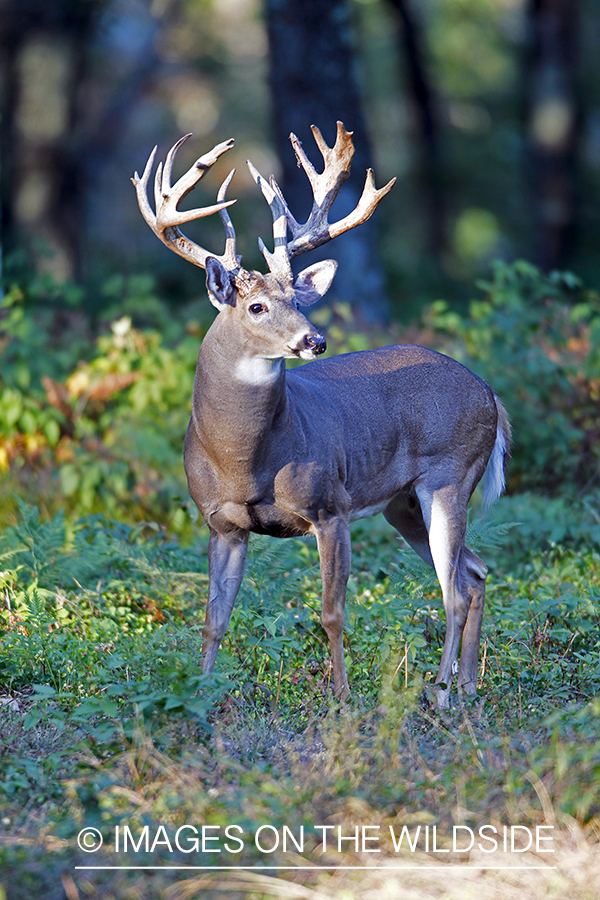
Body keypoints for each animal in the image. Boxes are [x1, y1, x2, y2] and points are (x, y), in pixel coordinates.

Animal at [134, 121, 508, 712]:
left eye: (298, 298)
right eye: (257, 306)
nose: (315, 340)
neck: (245, 460)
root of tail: (490, 392)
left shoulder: (330, 507)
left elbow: (332, 613)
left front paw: (343, 700)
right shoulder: (221, 524)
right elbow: (214, 620)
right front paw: (202, 695)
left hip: (450, 477)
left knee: (452, 590)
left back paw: (442, 694)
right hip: (403, 505)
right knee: (474, 575)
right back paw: (468, 686)